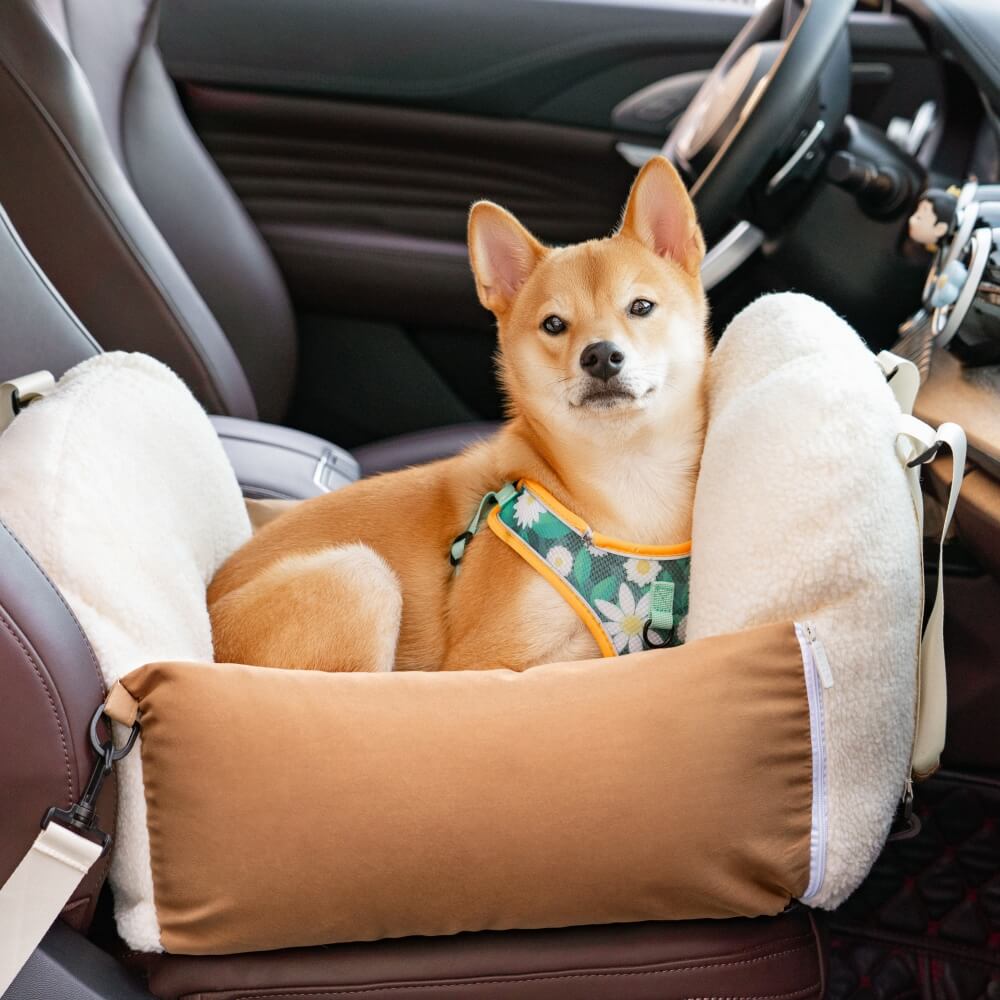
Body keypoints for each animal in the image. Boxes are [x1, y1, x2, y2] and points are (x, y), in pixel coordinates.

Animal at [209, 156, 712, 672]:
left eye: (641, 307)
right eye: (554, 324)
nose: (601, 355)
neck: (628, 478)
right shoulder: (483, 659)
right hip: (360, 576)